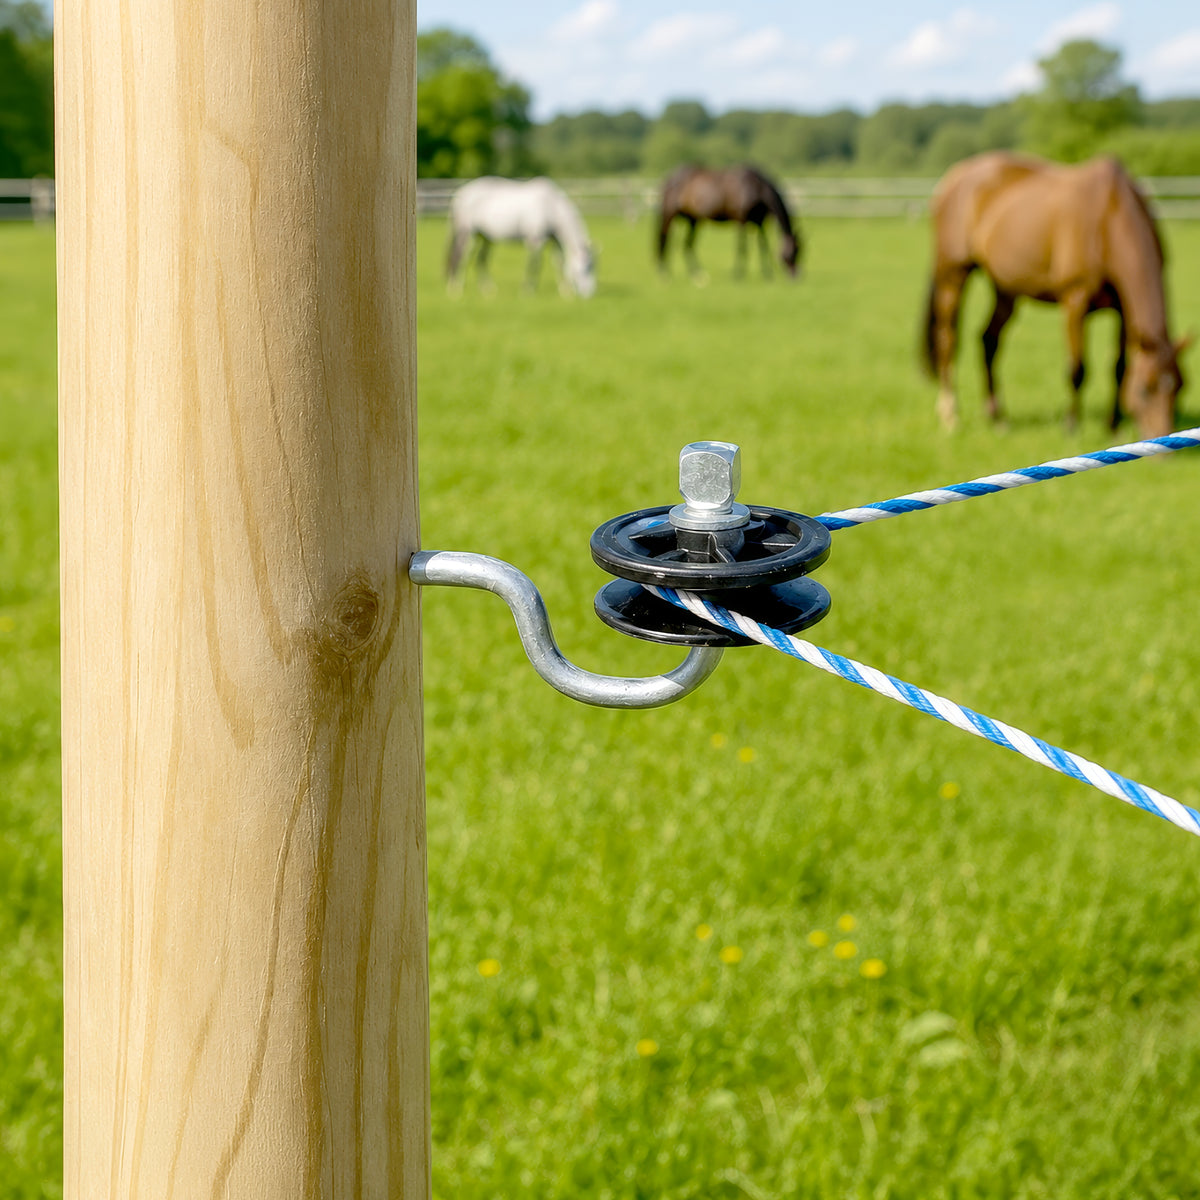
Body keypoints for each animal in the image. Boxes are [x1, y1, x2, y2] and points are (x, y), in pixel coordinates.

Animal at [446, 177, 596, 298]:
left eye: (594, 267)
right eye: (586, 268)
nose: (590, 293)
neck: (550, 206)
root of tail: (461, 193)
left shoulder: (554, 240)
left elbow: (559, 263)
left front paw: (566, 291)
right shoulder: (535, 240)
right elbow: (534, 265)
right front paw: (528, 290)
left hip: (485, 237)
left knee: (481, 260)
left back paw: (488, 290)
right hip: (468, 234)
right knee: (462, 258)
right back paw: (456, 289)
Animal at [657, 165, 802, 281]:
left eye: (800, 250)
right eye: (792, 252)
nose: (797, 276)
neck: (756, 187)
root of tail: (669, 178)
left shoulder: (759, 223)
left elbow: (763, 246)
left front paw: (767, 274)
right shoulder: (741, 220)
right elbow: (742, 247)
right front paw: (738, 274)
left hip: (693, 220)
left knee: (687, 245)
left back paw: (697, 274)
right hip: (669, 214)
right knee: (664, 240)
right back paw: (664, 274)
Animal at [924, 151, 1189, 437]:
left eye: (1180, 387)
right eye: (1143, 390)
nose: (1163, 439)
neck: (1107, 216)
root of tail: (956, 175)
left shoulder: (1122, 309)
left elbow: (1119, 367)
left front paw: (1113, 426)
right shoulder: (1075, 302)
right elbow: (1078, 368)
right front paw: (1071, 425)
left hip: (1006, 290)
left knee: (988, 341)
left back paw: (997, 417)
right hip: (952, 276)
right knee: (948, 339)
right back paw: (950, 416)